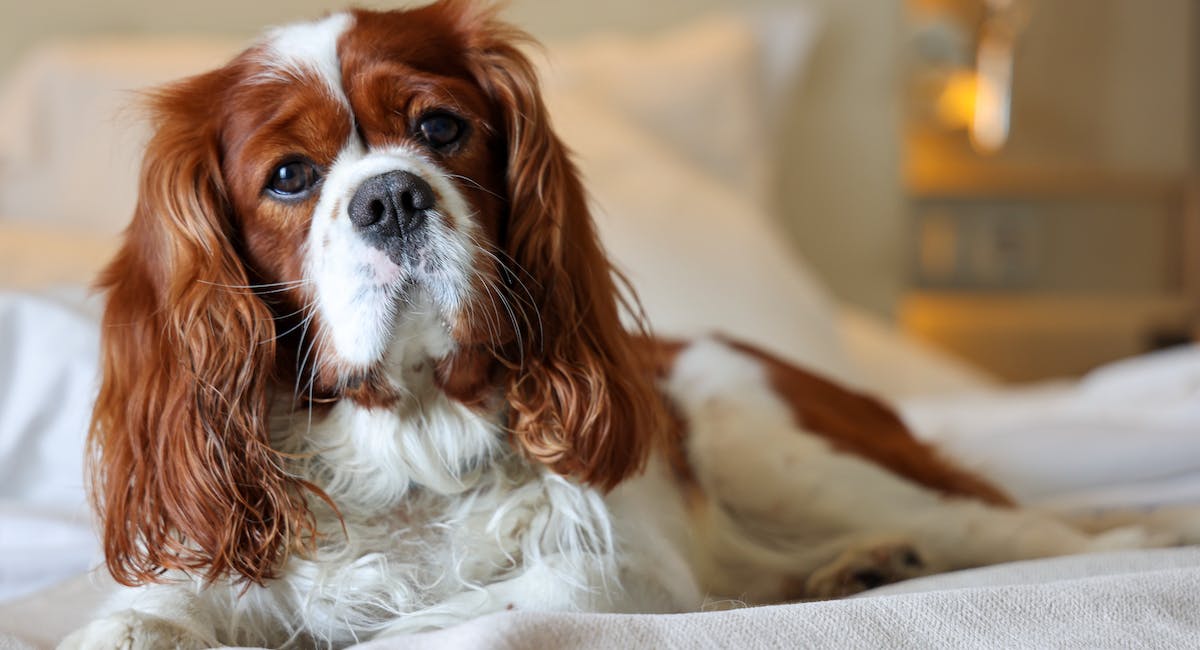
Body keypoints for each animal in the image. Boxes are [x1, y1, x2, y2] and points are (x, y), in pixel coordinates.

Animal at [60, 2, 1176, 647]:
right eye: (289, 176)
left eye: (440, 128)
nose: (390, 197)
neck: (409, 440)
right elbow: (141, 622)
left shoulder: (606, 575)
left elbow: (428, 629)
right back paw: (856, 567)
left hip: (760, 431)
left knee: (1020, 528)